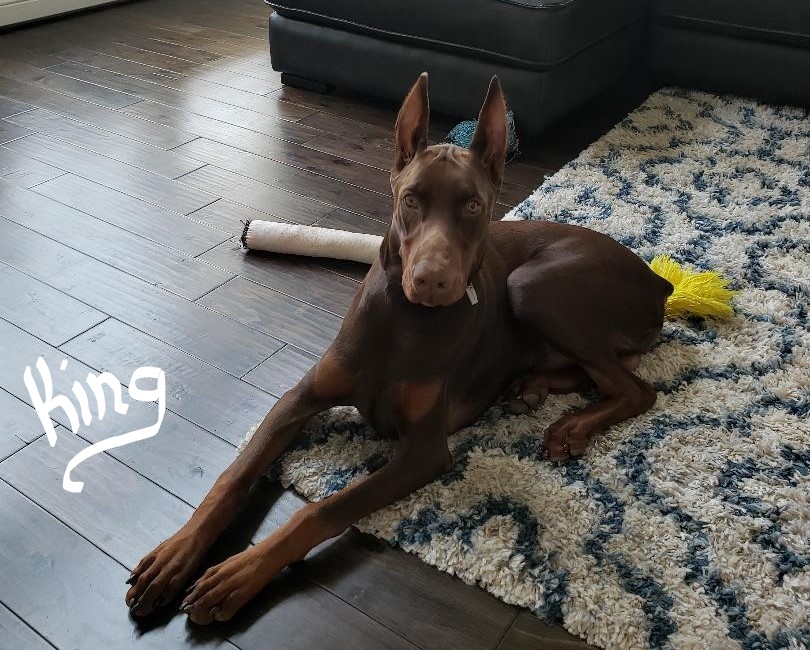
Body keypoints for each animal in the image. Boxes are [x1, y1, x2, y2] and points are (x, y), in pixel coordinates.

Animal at [125, 73, 673, 624]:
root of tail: (657, 280)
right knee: (597, 371)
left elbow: (322, 508)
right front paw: (176, 555)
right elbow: (235, 475)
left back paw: (569, 425)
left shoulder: (425, 451)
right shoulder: (299, 398)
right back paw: (530, 390)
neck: (404, 317)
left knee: (635, 388)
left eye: (472, 205)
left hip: (532, 286)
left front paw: (240, 573)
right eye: (411, 200)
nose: (432, 280)